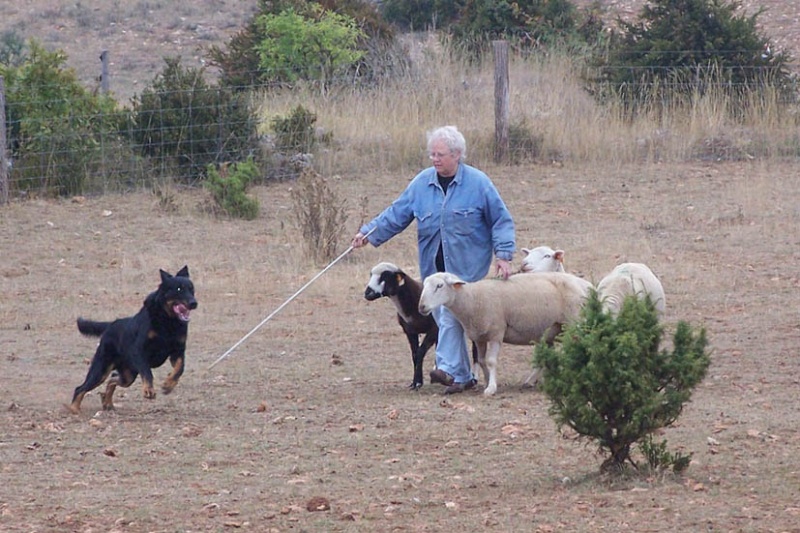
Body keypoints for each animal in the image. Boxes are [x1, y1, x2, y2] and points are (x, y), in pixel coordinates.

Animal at [69, 264, 199, 412]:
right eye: (178, 289)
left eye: (191, 289)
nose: (194, 303)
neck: (168, 322)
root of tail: (111, 325)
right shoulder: (140, 350)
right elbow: (147, 372)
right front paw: (149, 390)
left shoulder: (178, 351)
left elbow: (179, 368)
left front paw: (168, 385)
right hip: (101, 369)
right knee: (81, 388)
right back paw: (74, 409)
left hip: (128, 376)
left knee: (113, 378)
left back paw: (107, 402)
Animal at [418, 270, 592, 394]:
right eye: (424, 285)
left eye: (439, 286)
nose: (421, 307)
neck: (473, 299)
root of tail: (586, 285)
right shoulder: (480, 336)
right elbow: (481, 360)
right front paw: (487, 382)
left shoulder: (496, 332)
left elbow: (491, 361)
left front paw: (491, 388)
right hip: (550, 330)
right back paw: (531, 381)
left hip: (574, 324)